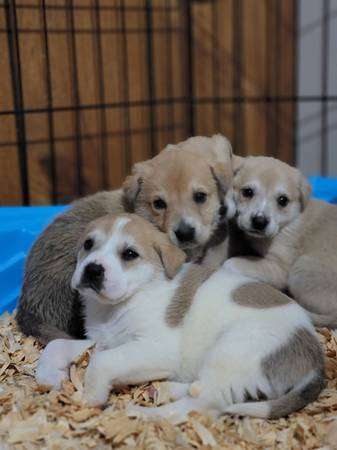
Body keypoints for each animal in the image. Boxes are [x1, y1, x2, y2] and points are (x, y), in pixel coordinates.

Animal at [36, 213, 322, 420]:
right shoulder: (103, 341)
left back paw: (142, 413)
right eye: (88, 244)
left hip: (230, 353)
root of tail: (316, 362)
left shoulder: (156, 348)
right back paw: (169, 389)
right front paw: (49, 377)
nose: (93, 269)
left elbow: (102, 362)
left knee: (202, 405)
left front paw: (90, 397)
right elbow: (57, 344)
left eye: (129, 254)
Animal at [224, 156, 336, 328]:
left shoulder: (279, 269)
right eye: (247, 192)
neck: (288, 222)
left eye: (283, 200)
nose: (259, 222)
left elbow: (231, 262)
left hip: (301, 269)